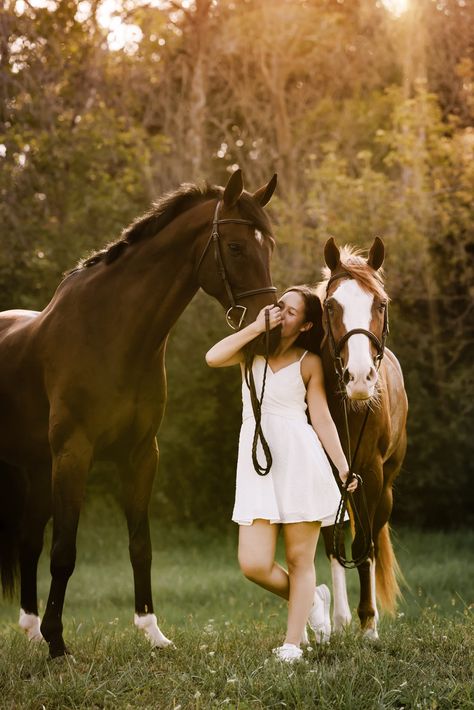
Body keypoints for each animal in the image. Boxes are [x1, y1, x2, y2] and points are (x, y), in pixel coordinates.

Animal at [0, 170, 278, 660]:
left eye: (271, 247)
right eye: (236, 247)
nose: (268, 332)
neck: (111, 332)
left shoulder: (142, 454)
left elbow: (140, 545)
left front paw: (152, 631)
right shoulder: (74, 454)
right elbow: (65, 552)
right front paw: (58, 644)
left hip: (36, 469)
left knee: (29, 540)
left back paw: (31, 628)